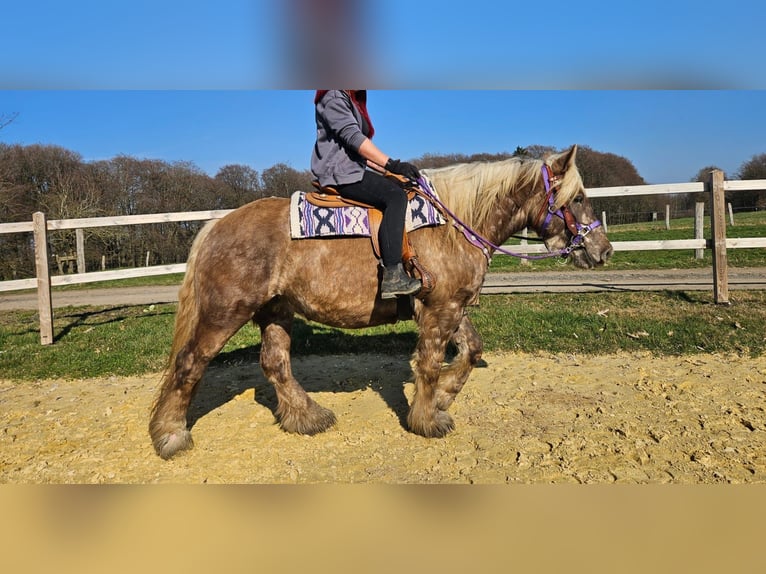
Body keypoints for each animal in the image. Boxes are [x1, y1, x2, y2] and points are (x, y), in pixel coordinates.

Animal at [149, 144, 613, 459]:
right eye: (576, 198)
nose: (603, 250)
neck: (454, 224)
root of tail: (216, 225)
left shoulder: (450, 305)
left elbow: (470, 350)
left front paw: (444, 396)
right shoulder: (440, 308)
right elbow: (429, 362)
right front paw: (428, 419)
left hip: (275, 310)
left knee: (275, 363)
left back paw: (307, 418)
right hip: (225, 312)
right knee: (189, 364)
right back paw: (171, 435)